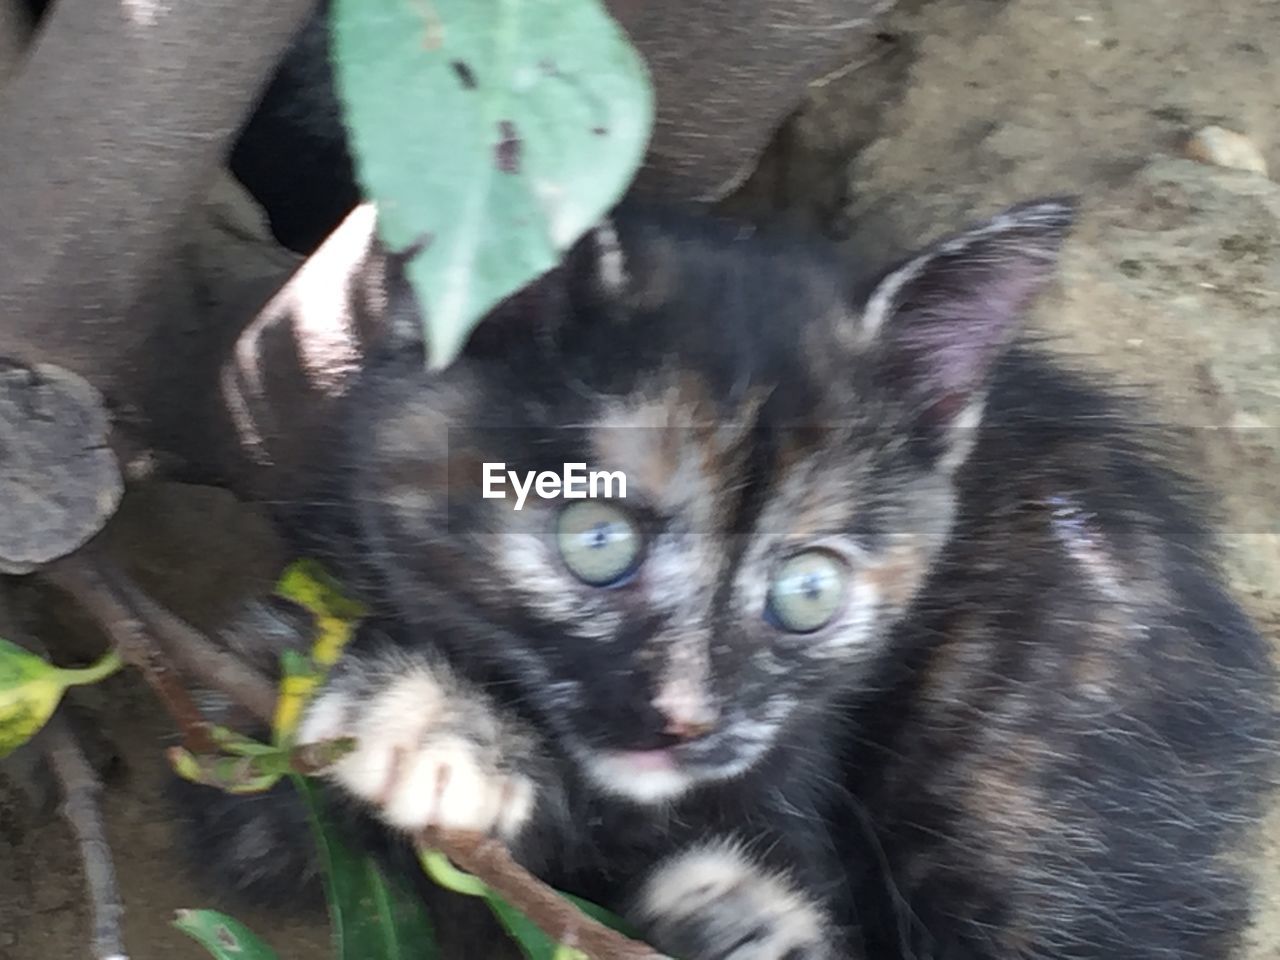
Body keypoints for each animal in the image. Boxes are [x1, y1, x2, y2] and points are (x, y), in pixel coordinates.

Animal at [180, 199, 1280, 957]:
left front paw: (742, 916)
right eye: (596, 542)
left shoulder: (791, 769)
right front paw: (430, 714)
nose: (686, 721)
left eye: (808, 592)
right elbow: (246, 770)